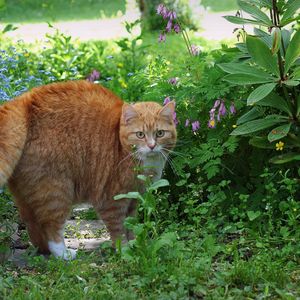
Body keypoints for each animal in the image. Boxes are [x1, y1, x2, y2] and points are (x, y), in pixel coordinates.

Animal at [0, 80, 176, 260]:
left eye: (160, 133)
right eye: (140, 134)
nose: (152, 146)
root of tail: (25, 100)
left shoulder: (133, 199)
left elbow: (131, 226)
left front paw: (135, 245)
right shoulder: (111, 200)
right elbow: (118, 230)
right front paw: (126, 251)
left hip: (26, 195)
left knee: (32, 225)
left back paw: (44, 251)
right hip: (57, 190)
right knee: (51, 226)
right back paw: (63, 254)